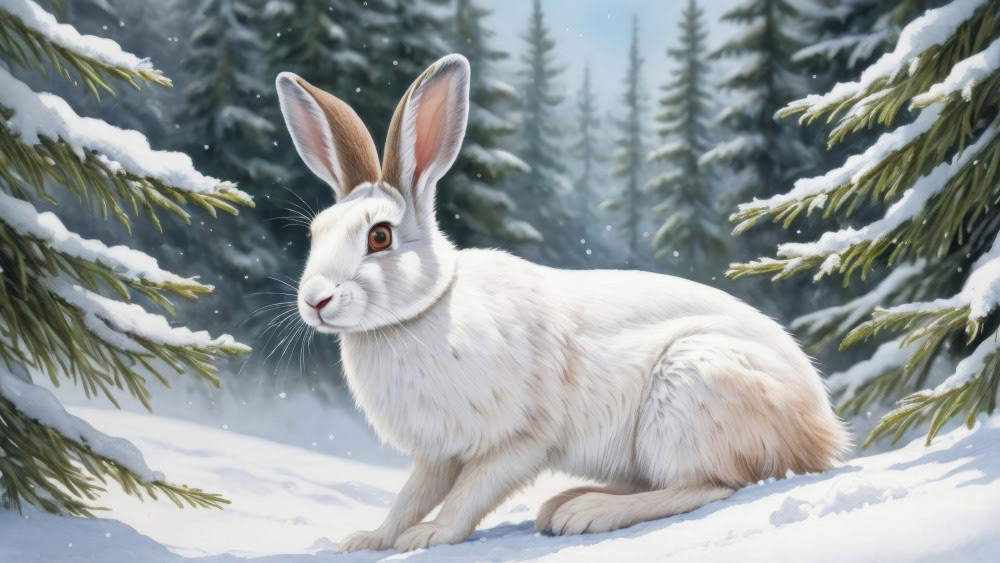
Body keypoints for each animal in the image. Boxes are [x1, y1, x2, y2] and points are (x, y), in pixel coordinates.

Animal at [275, 53, 850, 552]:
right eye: (316, 232)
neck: (424, 311)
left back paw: (588, 513)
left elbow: (470, 493)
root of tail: (823, 434)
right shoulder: (436, 453)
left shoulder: (521, 438)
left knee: (714, 485)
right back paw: (565, 503)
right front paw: (369, 539)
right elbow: (412, 494)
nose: (315, 300)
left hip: (690, 393)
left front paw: (429, 536)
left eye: (380, 237)